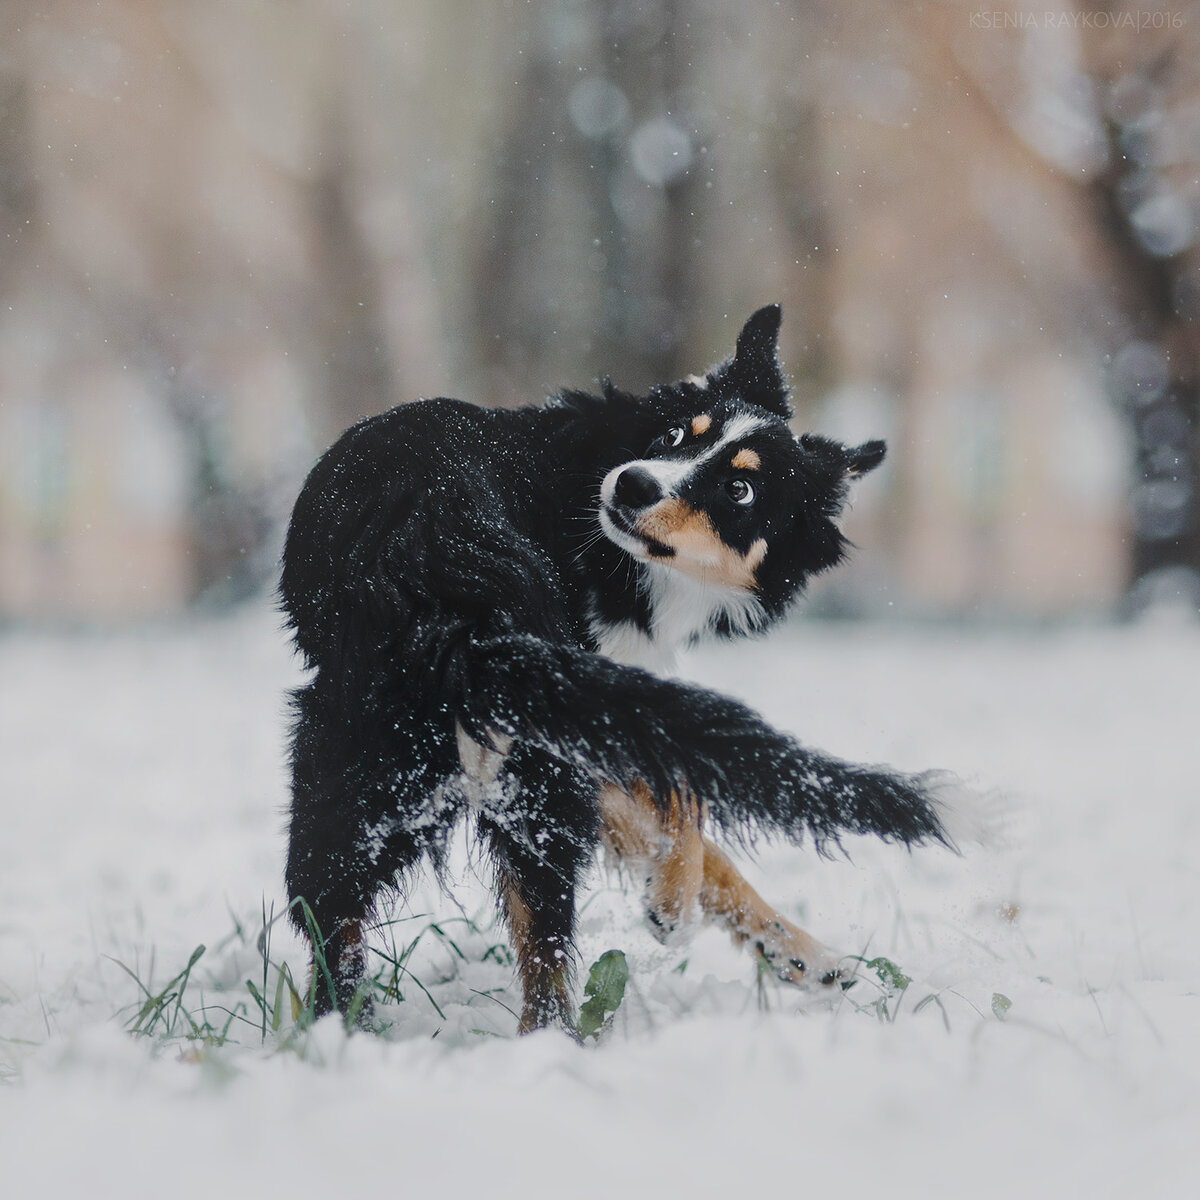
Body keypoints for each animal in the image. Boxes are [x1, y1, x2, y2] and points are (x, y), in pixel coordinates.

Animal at [278, 304, 964, 1027]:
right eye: (676, 435)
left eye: (739, 488)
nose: (633, 482)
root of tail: (434, 561)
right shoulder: (599, 706)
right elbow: (688, 801)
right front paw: (673, 905)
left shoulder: (592, 718)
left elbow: (696, 826)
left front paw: (801, 954)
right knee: (539, 963)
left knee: (356, 931)